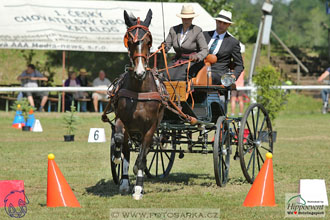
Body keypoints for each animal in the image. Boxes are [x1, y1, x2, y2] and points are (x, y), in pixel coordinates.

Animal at [113, 9, 164, 199]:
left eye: (149, 41)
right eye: (129, 40)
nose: (140, 72)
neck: (139, 90)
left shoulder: (150, 127)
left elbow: (142, 158)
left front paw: (138, 188)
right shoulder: (122, 120)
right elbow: (120, 141)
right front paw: (118, 160)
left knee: (145, 149)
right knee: (127, 147)